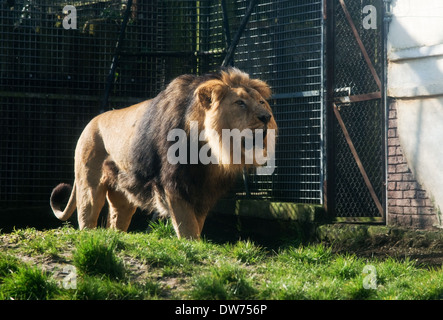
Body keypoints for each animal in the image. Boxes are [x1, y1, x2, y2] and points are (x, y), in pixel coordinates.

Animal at [49, 67, 278, 238]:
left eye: (261, 102)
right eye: (240, 103)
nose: (266, 117)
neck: (209, 149)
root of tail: (90, 122)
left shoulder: (202, 190)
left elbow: (197, 223)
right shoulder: (174, 184)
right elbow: (187, 225)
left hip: (123, 194)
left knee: (116, 222)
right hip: (89, 184)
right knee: (87, 217)